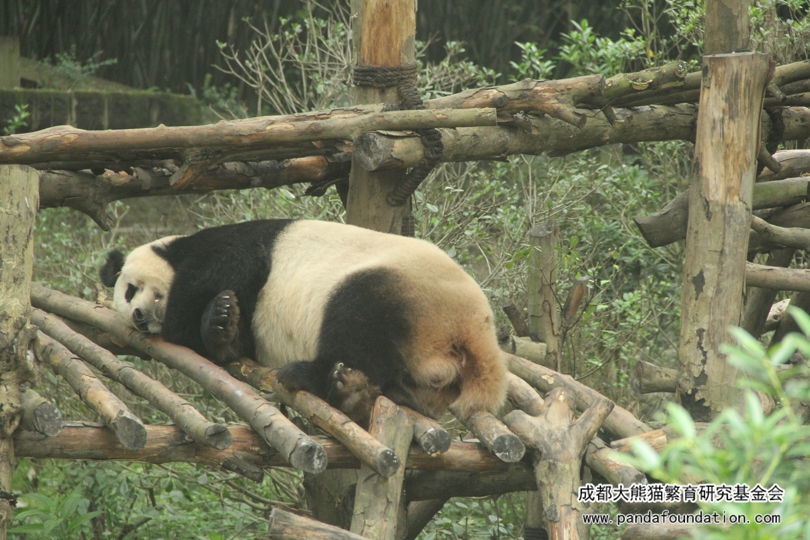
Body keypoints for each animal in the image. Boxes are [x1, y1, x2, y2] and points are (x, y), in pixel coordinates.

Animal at [99, 219, 506, 425]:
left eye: (132, 288)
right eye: (126, 299)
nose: (138, 316)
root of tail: (474, 330)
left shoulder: (231, 246)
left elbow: (227, 266)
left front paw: (201, 315)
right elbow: (236, 342)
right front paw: (222, 324)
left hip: (404, 288)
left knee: (355, 320)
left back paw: (313, 376)